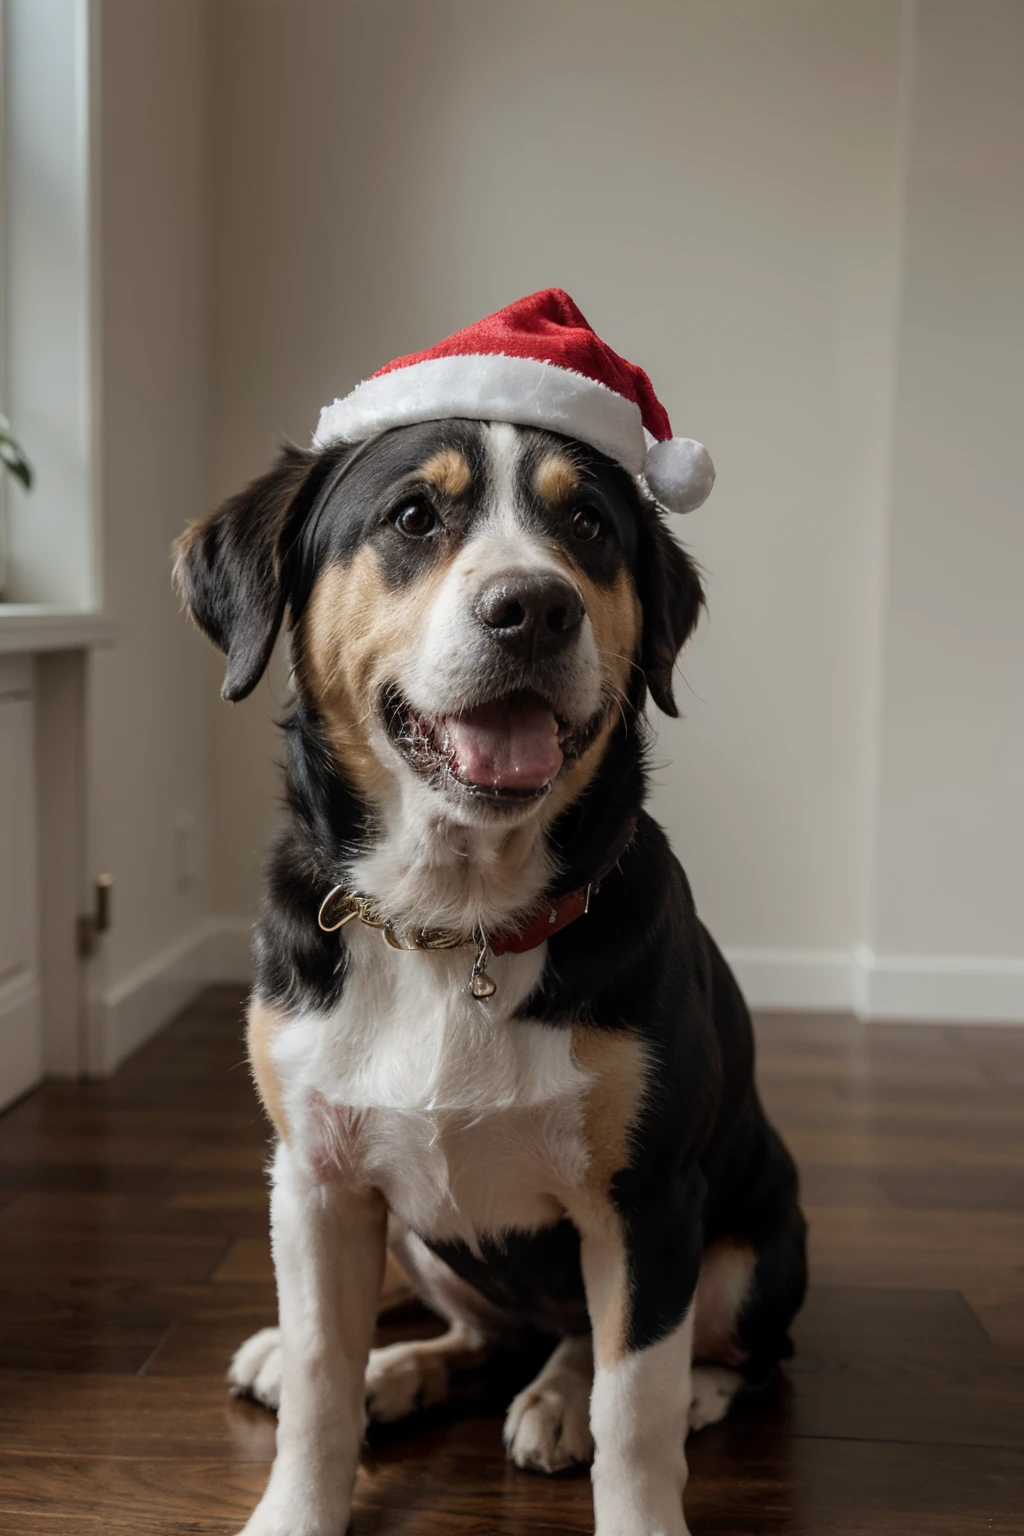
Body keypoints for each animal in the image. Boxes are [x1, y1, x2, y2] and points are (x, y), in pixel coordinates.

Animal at [171, 293, 804, 1529]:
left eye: (590, 527)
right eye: (415, 516)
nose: (533, 608)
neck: (448, 920)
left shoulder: (648, 1201)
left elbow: (636, 1408)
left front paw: (638, 1487)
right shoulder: (312, 1181)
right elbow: (319, 1378)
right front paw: (300, 1489)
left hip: (758, 1238)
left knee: (709, 1355)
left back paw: (582, 1397)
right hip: (411, 1234)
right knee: (474, 1334)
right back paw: (399, 1369)